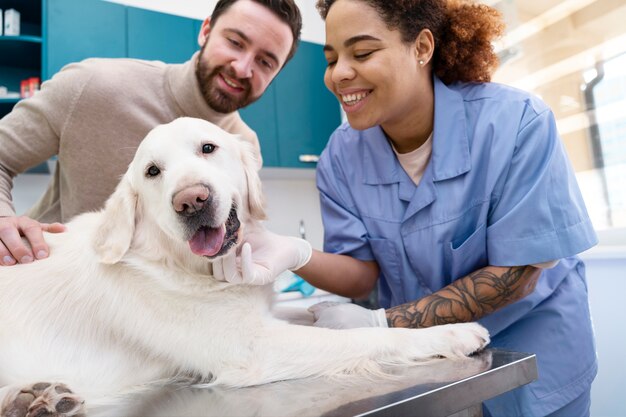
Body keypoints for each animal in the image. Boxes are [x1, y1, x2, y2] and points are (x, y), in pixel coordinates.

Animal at [0, 117, 488, 416]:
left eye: (208, 148)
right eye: (153, 171)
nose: (191, 200)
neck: (175, 262)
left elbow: (321, 315)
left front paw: (339, 311)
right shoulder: (251, 346)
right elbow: (370, 338)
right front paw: (453, 333)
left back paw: (38, 398)